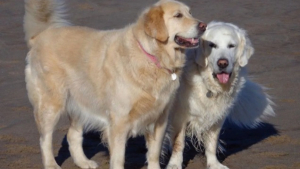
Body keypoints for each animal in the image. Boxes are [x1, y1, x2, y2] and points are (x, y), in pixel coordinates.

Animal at [166, 21, 274, 169]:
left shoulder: (217, 117)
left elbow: (212, 143)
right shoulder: (179, 117)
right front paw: (175, 164)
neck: (209, 85)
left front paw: (214, 164)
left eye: (231, 46)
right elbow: (179, 143)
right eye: (212, 45)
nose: (222, 63)